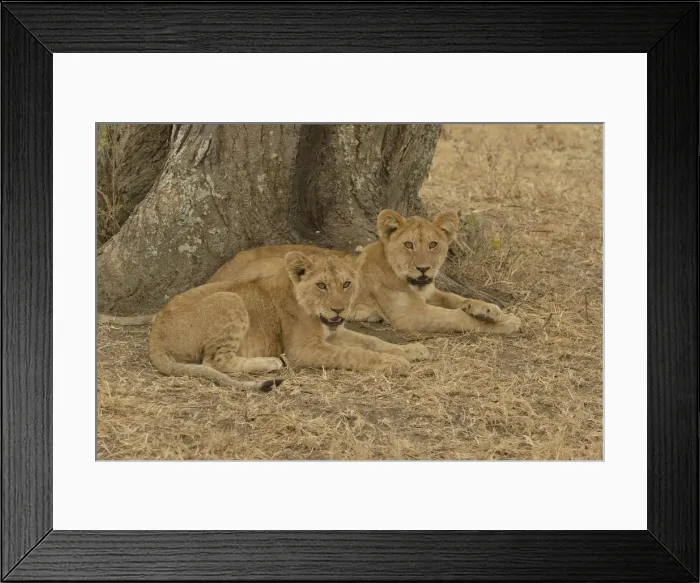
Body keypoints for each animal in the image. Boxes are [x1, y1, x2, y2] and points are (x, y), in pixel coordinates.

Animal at [143, 250, 428, 391]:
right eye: (322, 285)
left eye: (347, 284)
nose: (339, 310)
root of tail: (156, 334)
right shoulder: (303, 350)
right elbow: (354, 353)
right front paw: (393, 362)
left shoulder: (334, 331)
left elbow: (372, 341)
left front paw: (411, 349)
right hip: (230, 299)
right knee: (215, 362)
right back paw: (272, 362)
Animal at [207, 210, 522, 335]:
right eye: (408, 244)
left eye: (433, 244)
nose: (423, 268)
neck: (413, 283)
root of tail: (216, 274)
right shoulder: (411, 316)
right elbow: (457, 317)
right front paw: (507, 322)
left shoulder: (430, 292)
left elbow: (457, 300)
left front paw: (489, 309)